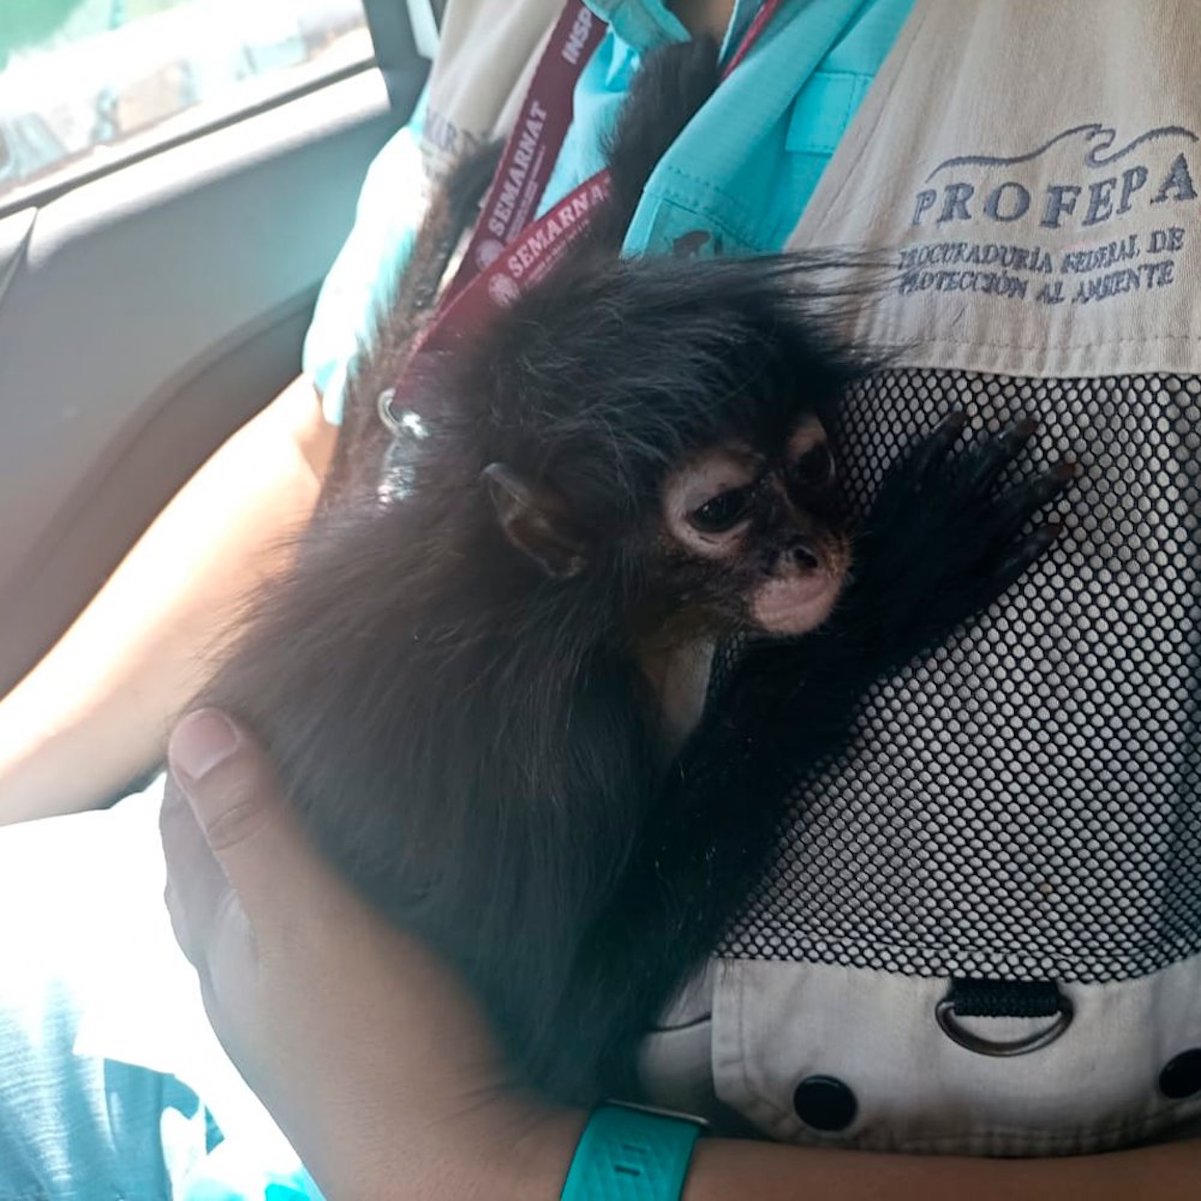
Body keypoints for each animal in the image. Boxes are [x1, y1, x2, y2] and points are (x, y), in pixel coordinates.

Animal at [198, 37, 1074, 1106]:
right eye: (720, 511)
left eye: (811, 465)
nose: (812, 554)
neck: (509, 584)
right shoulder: (551, 730)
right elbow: (555, 1038)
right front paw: (877, 604)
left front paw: (646, 142)